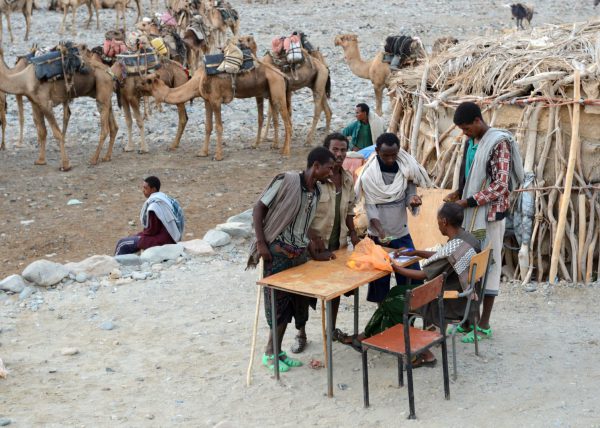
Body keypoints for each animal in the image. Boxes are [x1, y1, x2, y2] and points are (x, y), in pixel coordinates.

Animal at [146, 53, 294, 160]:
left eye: (150, 80)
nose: (145, 78)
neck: (197, 80)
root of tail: (282, 73)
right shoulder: (207, 100)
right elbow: (208, 126)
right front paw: (203, 152)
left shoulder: (216, 100)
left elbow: (218, 127)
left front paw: (218, 156)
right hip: (269, 91)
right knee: (276, 118)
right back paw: (275, 146)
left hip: (277, 88)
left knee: (287, 121)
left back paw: (286, 152)